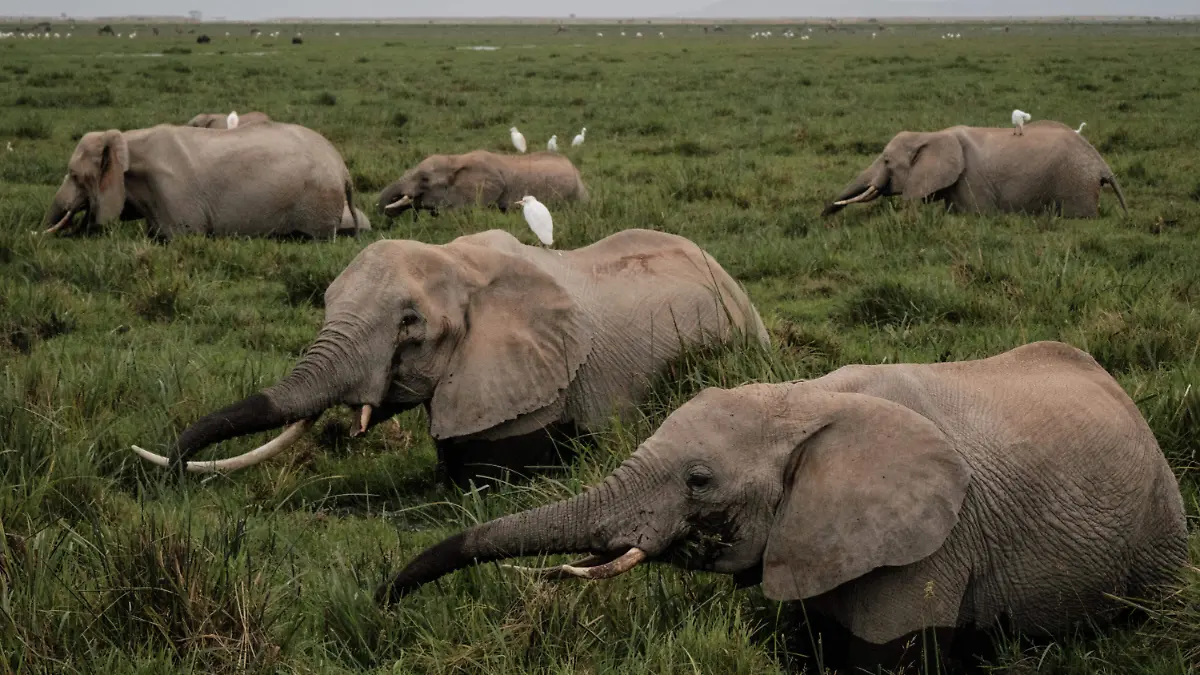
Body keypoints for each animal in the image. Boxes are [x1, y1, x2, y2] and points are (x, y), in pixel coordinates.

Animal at [44, 121, 367, 237]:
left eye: (75, 175)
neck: (128, 139)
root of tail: (343, 169)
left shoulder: (174, 194)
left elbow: (184, 236)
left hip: (317, 202)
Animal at [379, 343, 1185, 667]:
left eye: (699, 480)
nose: (383, 600)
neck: (804, 399)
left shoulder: (935, 543)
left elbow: (888, 656)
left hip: (1160, 528)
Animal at [820, 119, 1128, 216]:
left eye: (886, 161)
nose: (822, 219)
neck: (931, 134)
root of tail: (1101, 164)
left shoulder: (971, 180)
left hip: (1075, 184)